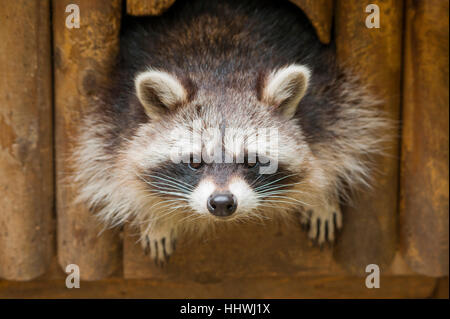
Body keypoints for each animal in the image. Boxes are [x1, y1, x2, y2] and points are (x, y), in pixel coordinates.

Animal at [72, 0, 388, 264]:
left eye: (252, 161)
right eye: (194, 162)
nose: (222, 203)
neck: (220, 73)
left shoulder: (325, 99)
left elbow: (340, 138)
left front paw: (322, 196)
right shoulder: (116, 115)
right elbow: (112, 167)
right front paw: (155, 216)